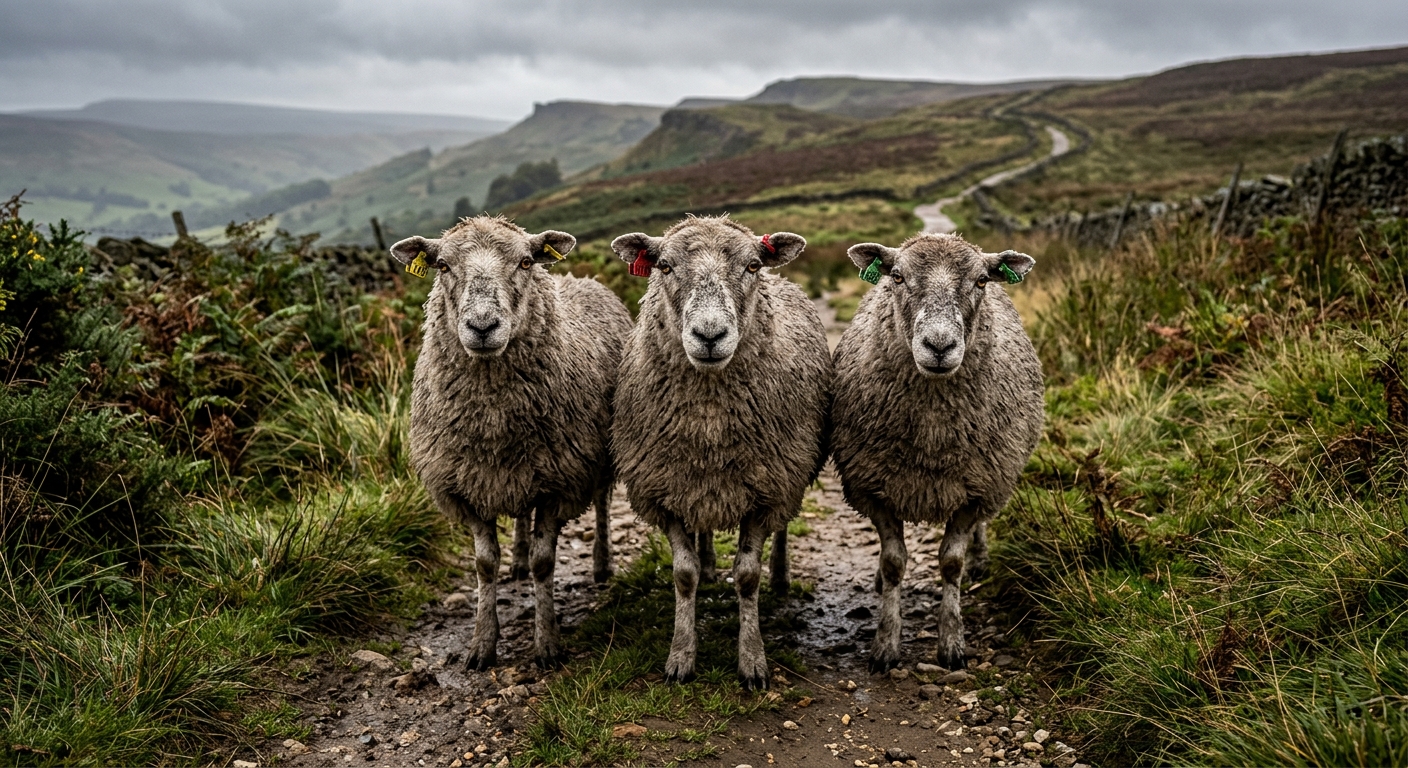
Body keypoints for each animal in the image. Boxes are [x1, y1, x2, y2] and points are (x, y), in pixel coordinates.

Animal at [389, 216, 632, 670]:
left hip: (595, 458)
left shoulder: (561, 482)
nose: (483, 328)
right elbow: (485, 566)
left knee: (603, 504)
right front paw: (482, 644)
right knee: (521, 514)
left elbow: (544, 562)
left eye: (525, 262)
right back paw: (517, 559)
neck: (494, 422)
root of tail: (578, 278)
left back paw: (602, 565)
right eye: (443, 265)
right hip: (521, 471)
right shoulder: (466, 486)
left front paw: (547, 643)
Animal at [610, 215, 832, 689]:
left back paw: (780, 575)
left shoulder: (768, 489)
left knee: (783, 530)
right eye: (665, 266)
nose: (709, 336)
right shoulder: (663, 491)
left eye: (752, 265)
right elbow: (684, 574)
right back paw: (711, 563)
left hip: (788, 473)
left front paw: (752, 660)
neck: (709, 424)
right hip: (697, 484)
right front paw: (681, 656)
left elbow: (747, 577)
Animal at [830, 232, 1043, 672]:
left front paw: (951, 643)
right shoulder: (874, 488)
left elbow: (951, 563)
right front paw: (885, 645)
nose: (940, 345)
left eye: (982, 280)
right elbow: (893, 562)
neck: (932, 434)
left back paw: (980, 558)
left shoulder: (976, 490)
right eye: (896, 276)